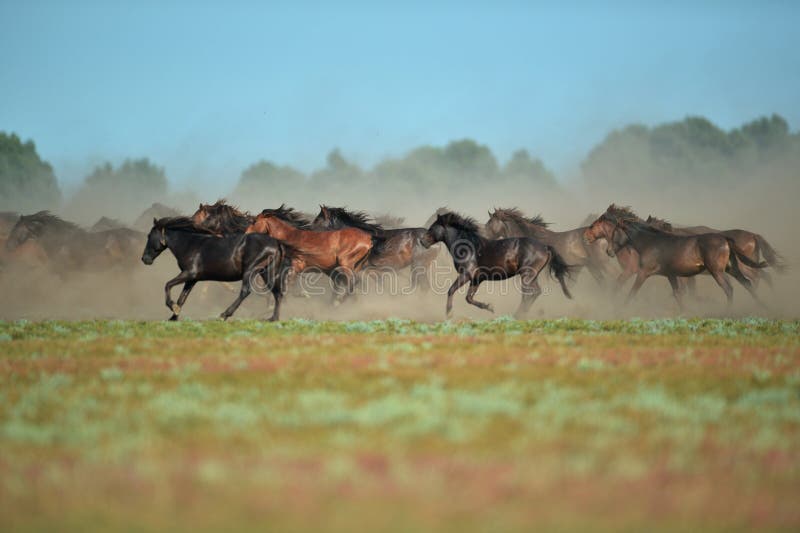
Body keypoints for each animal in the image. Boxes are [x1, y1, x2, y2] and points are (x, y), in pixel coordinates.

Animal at [245, 205, 374, 302]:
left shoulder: (296, 266)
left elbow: (288, 285)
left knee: (352, 281)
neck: (290, 238)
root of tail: (368, 240)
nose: (246, 234)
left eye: (254, 221)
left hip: (345, 264)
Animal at [422, 211, 572, 320]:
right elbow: (469, 298)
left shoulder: (466, 274)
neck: (468, 246)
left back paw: (517, 315)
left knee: (531, 292)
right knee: (534, 292)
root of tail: (545, 247)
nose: (423, 241)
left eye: (431, 228)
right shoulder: (476, 279)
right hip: (531, 275)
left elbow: (451, 290)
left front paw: (449, 314)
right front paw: (489, 307)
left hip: (527, 274)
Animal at [584, 205, 764, 308]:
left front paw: (618, 307)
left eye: (593, 224)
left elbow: (627, 289)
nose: (609, 251)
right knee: (747, 283)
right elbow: (678, 294)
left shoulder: (638, 271)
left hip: (720, 271)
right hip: (732, 268)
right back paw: (763, 307)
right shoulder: (671, 274)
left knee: (735, 286)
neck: (649, 241)